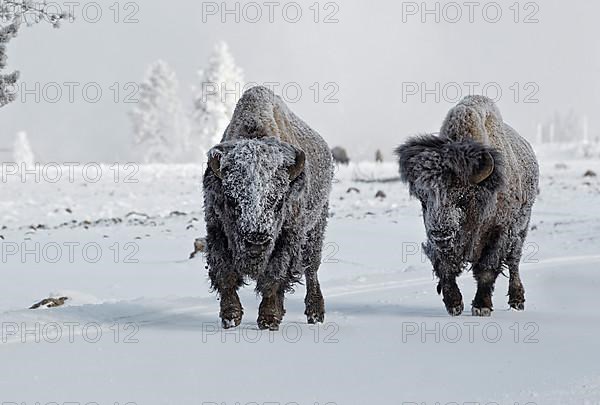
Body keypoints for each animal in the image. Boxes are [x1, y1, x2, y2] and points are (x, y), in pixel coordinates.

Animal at [202, 87, 332, 330]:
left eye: (279, 200)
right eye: (231, 200)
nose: (256, 240)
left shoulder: (287, 237)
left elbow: (274, 277)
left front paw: (269, 319)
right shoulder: (216, 230)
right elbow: (225, 274)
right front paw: (230, 317)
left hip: (316, 227)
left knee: (311, 268)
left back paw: (315, 314)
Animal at [398, 95, 540, 316]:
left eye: (462, 198)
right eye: (423, 201)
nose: (441, 234)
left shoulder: (499, 233)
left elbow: (487, 270)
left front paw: (481, 307)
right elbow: (445, 267)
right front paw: (454, 304)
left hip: (521, 228)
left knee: (514, 261)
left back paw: (517, 300)